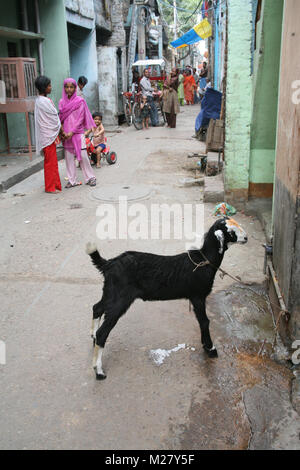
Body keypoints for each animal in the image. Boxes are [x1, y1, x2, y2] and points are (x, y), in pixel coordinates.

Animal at [85, 217, 247, 378]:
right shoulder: (198, 296)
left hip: (111, 292)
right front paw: (210, 349)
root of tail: (108, 264)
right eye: (231, 231)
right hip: (120, 297)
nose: (245, 238)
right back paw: (99, 371)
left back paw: (93, 338)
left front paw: (206, 345)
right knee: (103, 332)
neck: (203, 260)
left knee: (97, 307)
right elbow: (205, 322)